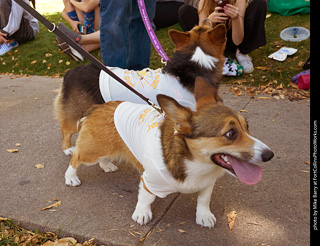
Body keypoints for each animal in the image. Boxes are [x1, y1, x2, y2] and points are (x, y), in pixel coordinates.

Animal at [54, 23, 225, 154]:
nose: (209, 18)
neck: (197, 62)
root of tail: (70, 72)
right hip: (76, 114)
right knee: (65, 129)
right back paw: (67, 149)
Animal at [65, 77, 276, 229]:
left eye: (247, 126)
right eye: (231, 133)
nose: (269, 155)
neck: (197, 165)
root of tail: (97, 107)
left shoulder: (208, 182)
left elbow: (204, 199)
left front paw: (204, 216)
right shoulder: (149, 180)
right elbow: (146, 198)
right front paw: (142, 214)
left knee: (102, 158)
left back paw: (107, 165)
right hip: (91, 151)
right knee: (76, 157)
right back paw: (71, 177)